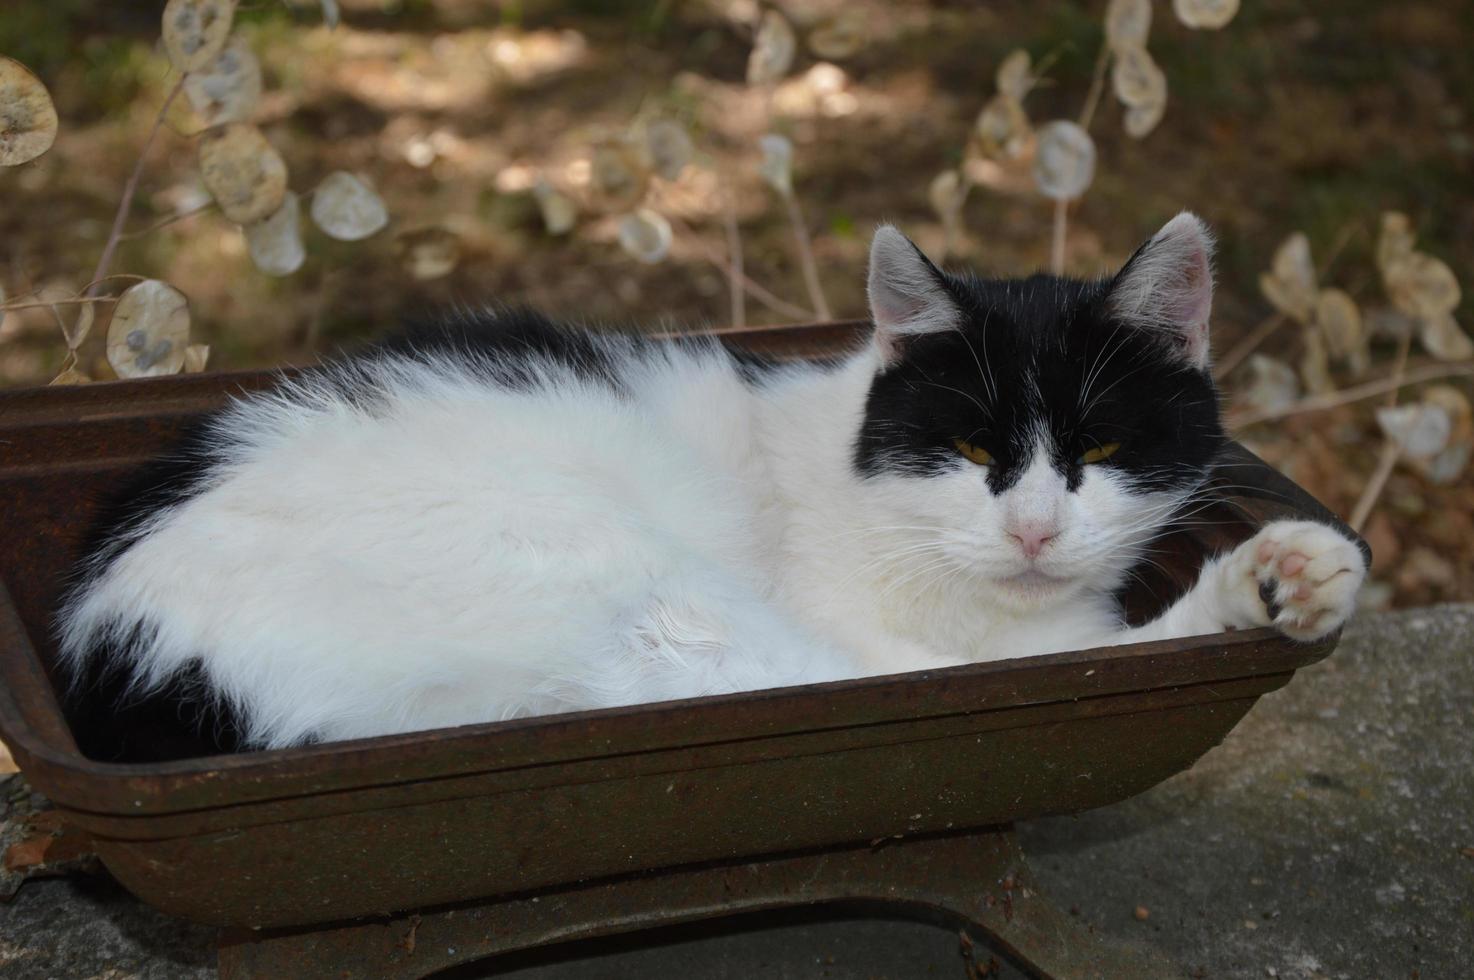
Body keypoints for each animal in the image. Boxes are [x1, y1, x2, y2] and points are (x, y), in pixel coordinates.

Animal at [57, 210, 1367, 751]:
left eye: (1096, 454)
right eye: (970, 454)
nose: (1039, 529)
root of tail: (117, 634)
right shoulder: (895, 641)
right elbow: (1048, 661)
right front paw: (1274, 576)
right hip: (636, 588)